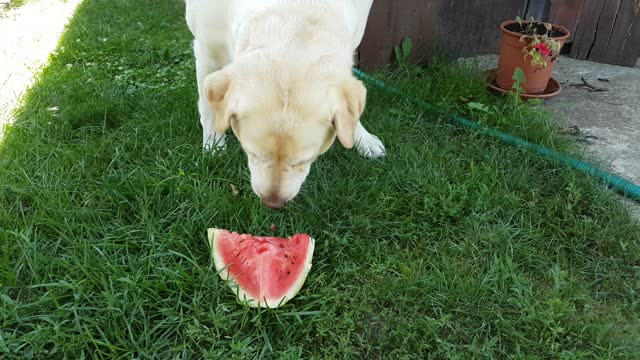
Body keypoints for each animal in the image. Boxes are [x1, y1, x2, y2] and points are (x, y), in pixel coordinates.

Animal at [185, 0, 384, 208]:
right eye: (251, 152)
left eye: (304, 161)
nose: (273, 203)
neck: (298, 15)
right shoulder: (207, 52)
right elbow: (208, 109)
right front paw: (213, 144)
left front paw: (362, 138)